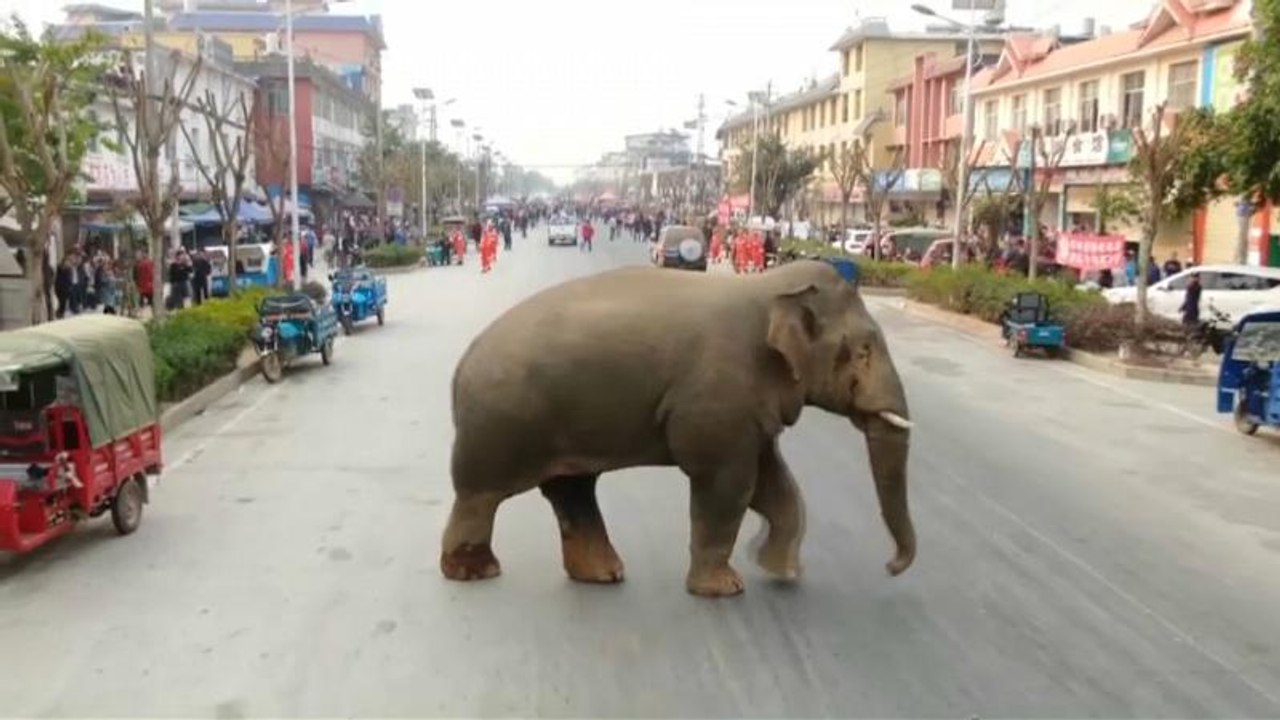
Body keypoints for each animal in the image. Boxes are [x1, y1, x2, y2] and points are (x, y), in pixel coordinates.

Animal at [440, 259, 916, 597]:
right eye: (864, 351)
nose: (890, 567)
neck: (768, 287)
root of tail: (463, 361)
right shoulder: (716, 400)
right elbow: (728, 483)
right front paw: (724, 589)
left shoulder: (747, 407)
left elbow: (774, 485)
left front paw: (783, 572)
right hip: (499, 423)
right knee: (481, 494)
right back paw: (474, 572)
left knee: (572, 488)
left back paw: (603, 575)